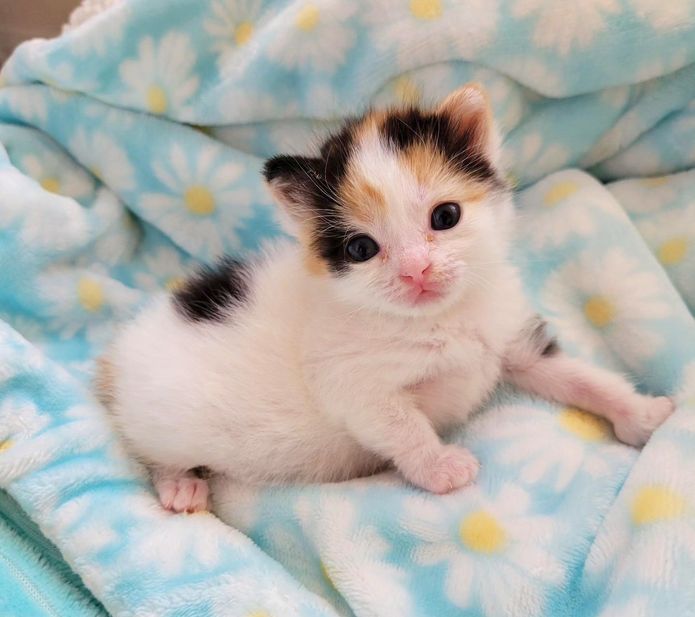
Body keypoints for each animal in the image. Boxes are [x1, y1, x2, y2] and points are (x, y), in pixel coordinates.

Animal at [98, 84, 676, 512]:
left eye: (446, 216)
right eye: (361, 249)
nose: (416, 269)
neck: (440, 317)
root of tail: (117, 353)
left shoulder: (511, 340)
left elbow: (580, 376)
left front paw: (644, 414)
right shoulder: (352, 383)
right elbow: (401, 424)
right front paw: (440, 468)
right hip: (163, 417)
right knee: (151, 450)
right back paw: (179, 485)